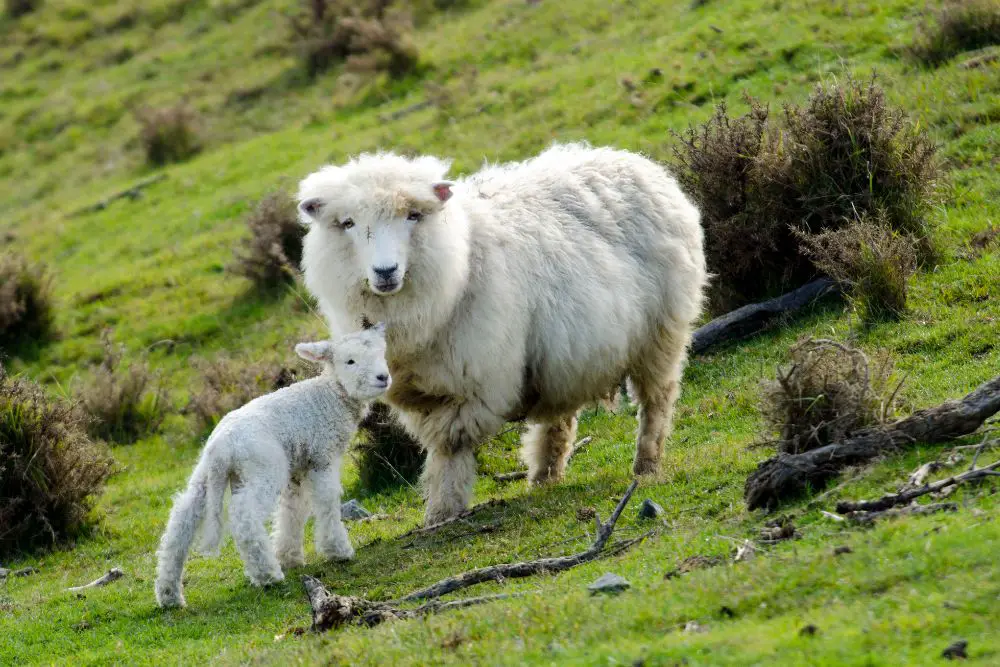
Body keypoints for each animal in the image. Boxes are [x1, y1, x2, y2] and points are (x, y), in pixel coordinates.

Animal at [155, 324, 390, 612]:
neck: (331, 396)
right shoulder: (321, 457)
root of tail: (222, 447)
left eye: (381, 353)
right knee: (244, 516)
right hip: (263, 468)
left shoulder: (298, 466)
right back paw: (267, 574)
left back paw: (169, 594)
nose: (383, 377)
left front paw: (289, 556)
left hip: (205, 476)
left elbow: (293, 509)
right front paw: (337, 550)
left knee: (182, 520)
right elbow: (325, 501)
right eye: (350, 361)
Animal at [292, 142, 708, 528]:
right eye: (348, 223)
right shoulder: (423, 390)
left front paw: (443, 511)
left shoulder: (473, 382)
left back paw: (646, 465)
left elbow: (449, 446)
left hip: (661, 335)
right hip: (564, 352)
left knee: (657, 400)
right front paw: (439, 513)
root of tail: (637, 162)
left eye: (413, 215)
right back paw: (544, 476)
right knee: (560, 414)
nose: (385, 271)